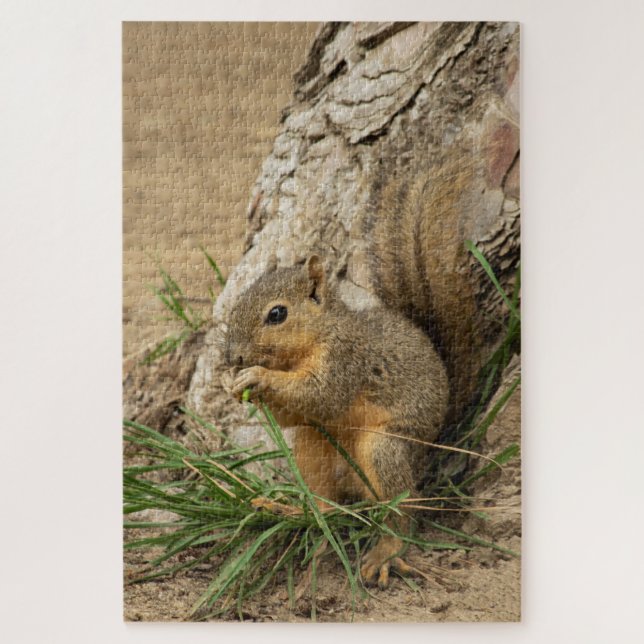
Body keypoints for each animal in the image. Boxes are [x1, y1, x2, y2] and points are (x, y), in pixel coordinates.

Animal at [224, 255, 449, 588]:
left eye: (277, 313)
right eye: (236, 306)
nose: (233, 357)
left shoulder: (344, 359)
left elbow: (323, 395)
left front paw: (258, 376)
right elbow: (292, 416)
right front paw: (235, 384)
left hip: (384, 449)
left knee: (403, 510)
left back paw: (387, 550)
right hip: (311, 447)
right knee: (326, 505)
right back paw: (292, 511)